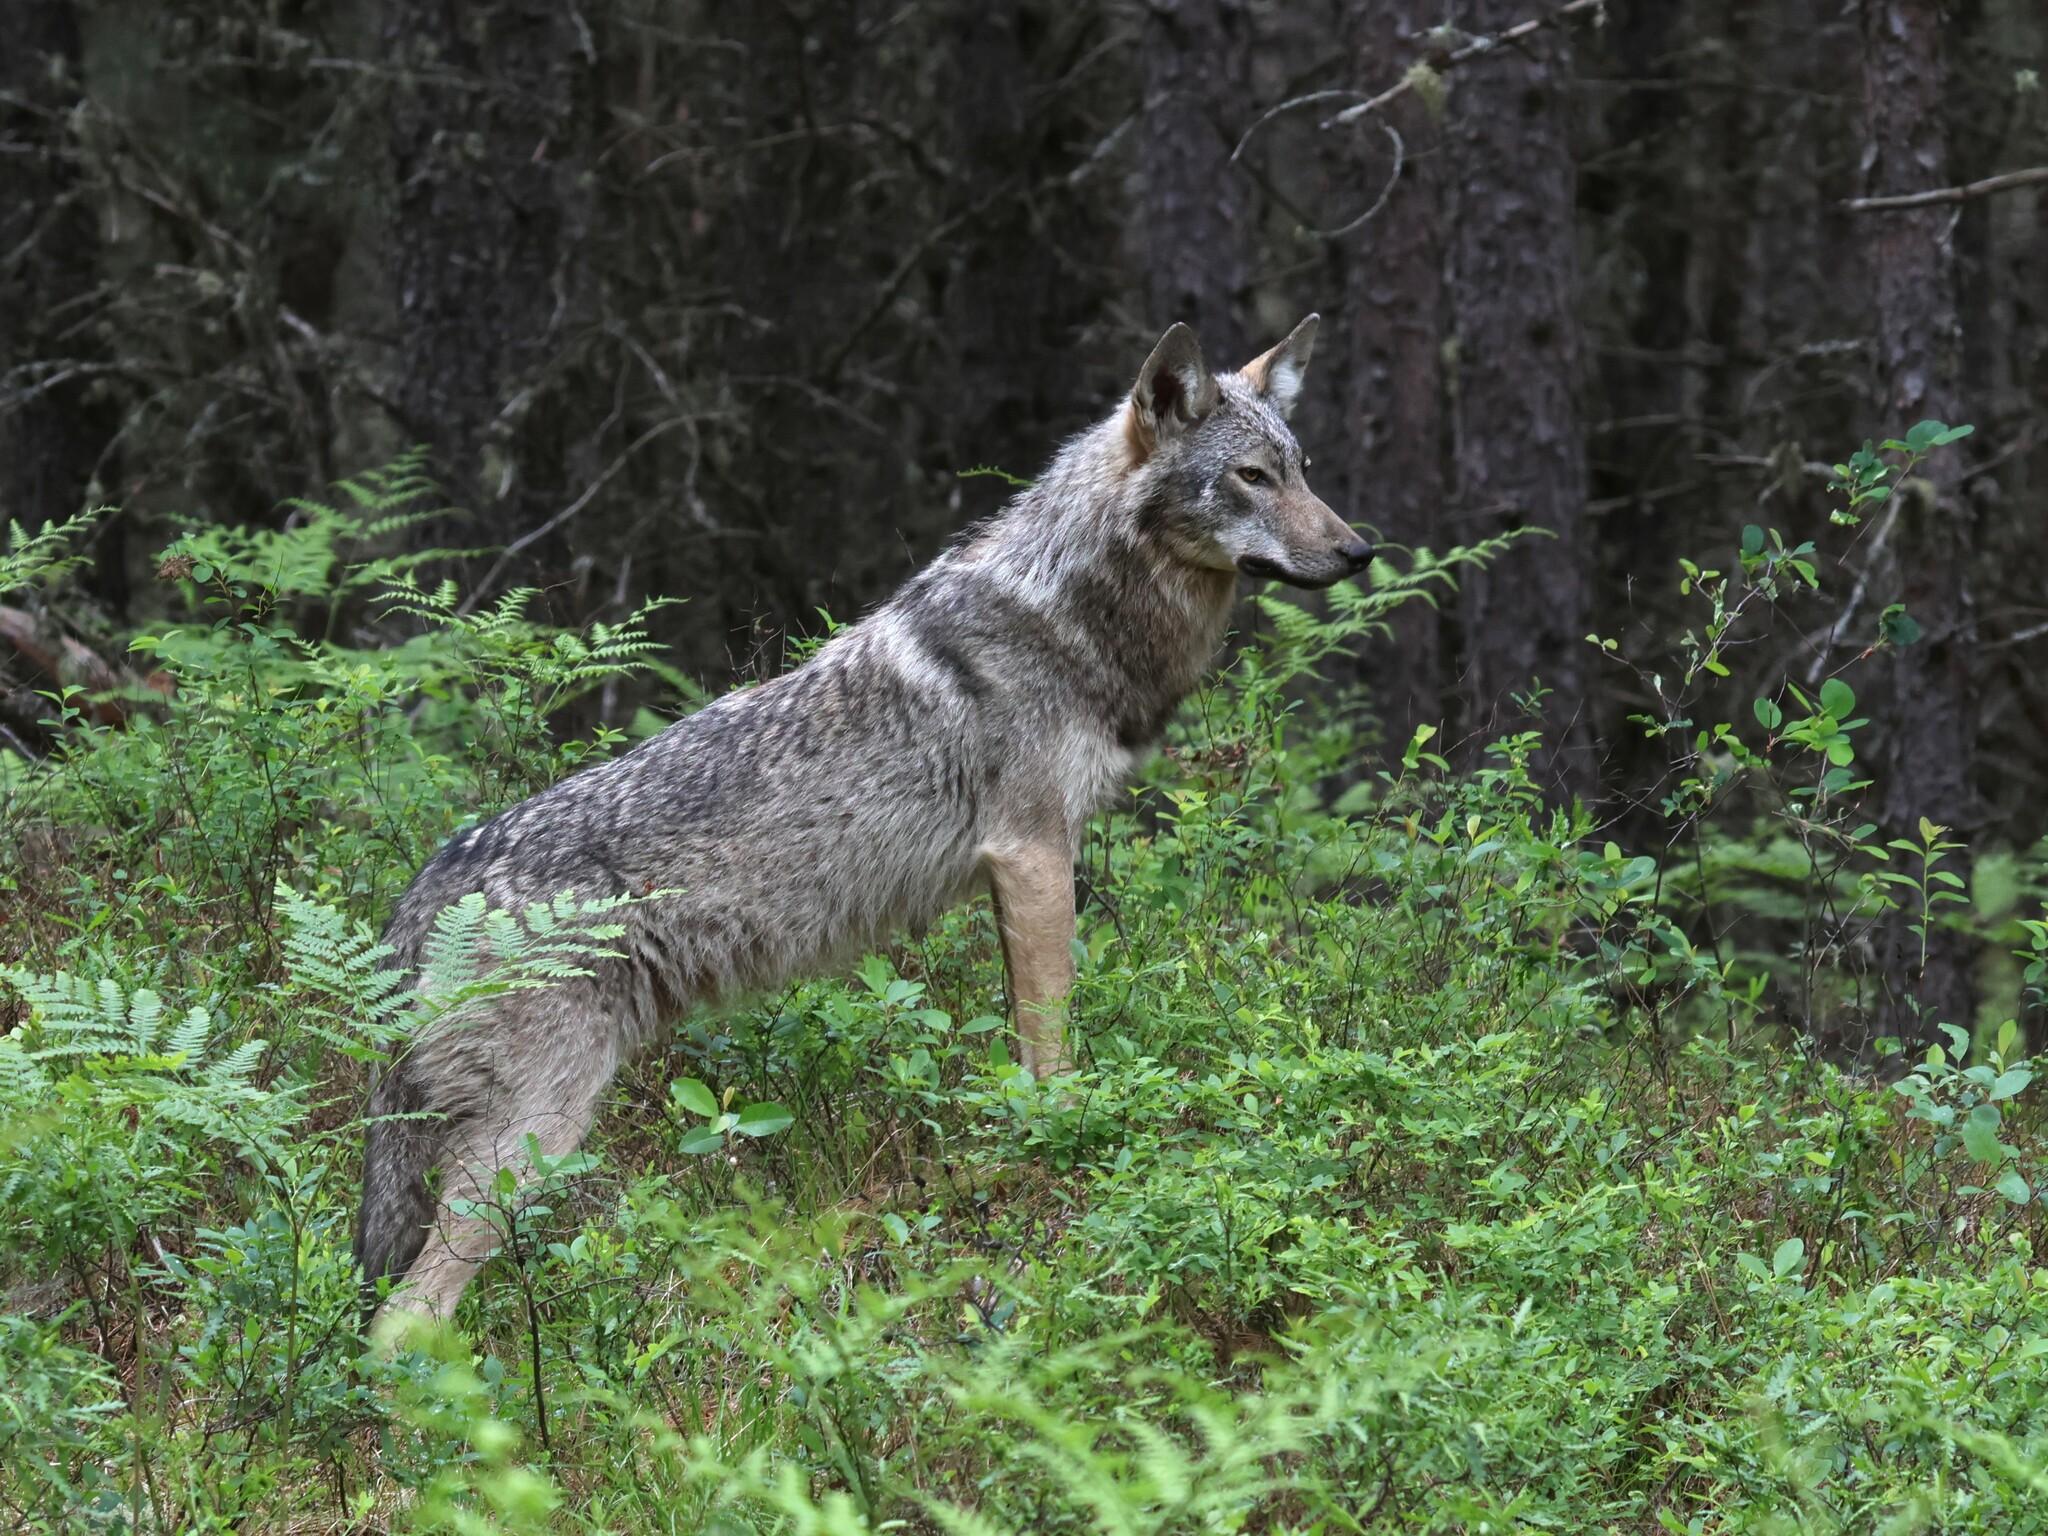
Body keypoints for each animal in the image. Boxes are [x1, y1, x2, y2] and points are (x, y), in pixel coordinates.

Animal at [356, 314, 1370, 1324]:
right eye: (1251, 477)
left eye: (1304, 467)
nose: (1361, 551)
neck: (1067, 610)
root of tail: (428, 885)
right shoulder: (1035, 854)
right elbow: (1054, 1046)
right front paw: (1064, 1135)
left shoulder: (1017, 873)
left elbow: (1019, 1037)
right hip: (533, 1143)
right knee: (403, 1321)